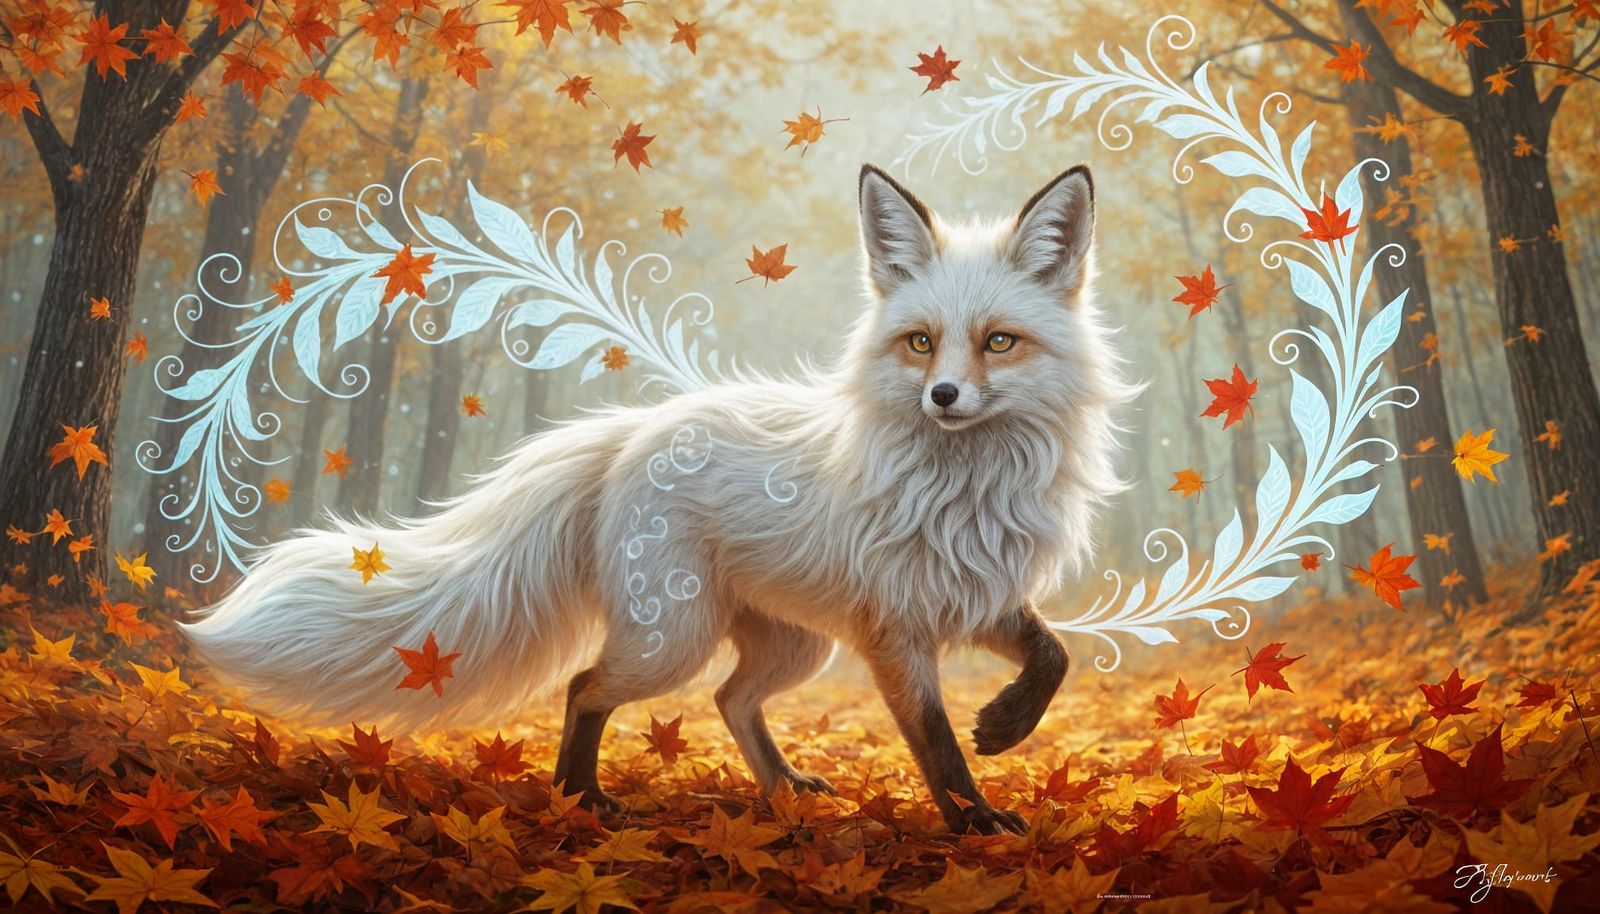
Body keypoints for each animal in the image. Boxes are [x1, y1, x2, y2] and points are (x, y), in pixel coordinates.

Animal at [184, 162, 1137, 835]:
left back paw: (783, 790)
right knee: (586, 687)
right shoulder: (896, 631)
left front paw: (1007, 728)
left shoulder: (976, 594)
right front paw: (976, 823)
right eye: (919, 343)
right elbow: (936, 745)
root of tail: (636, 429)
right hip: (672, 637)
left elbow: (1054, 655)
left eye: (999, 342)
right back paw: (581, 801)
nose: (943, 397)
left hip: (796, 647)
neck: (966, 487)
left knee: (729, 700)